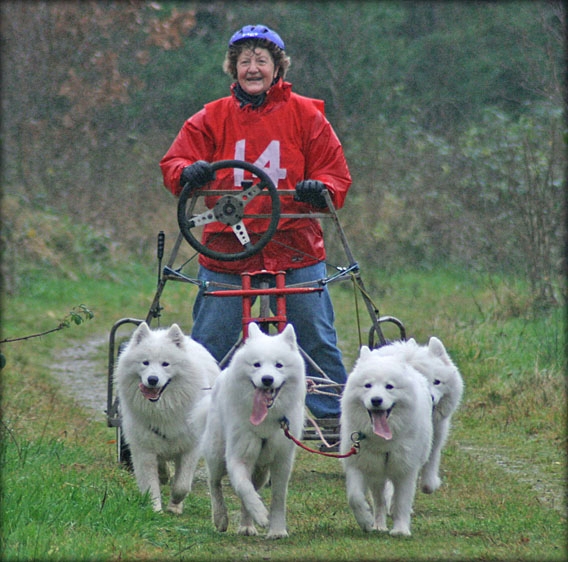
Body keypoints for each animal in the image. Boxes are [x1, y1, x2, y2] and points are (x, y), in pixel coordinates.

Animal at [115, 322, 220, 516]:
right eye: (145, 362)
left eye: (165, 364)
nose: (152, 379)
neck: (163, 408)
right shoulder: (143, 448)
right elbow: (150, 484)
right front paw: (155, 510)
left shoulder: (190, 447)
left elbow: (182, 485)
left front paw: (175, 505)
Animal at [203, 324, 306, 540]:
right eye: (257, 365)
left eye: (279, 365)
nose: (267, 380)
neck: (266, 420)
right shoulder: (238, 457)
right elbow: (244, 488)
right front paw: (260, 514)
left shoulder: (282, 462)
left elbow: (278, 497)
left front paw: (277, 530)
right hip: (217, 454)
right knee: (214, 483)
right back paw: (220, 518)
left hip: (260, 473)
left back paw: (246, 526)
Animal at [340, 346, 432, 532]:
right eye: (367, 385)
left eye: (389, 386)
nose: (376, 400)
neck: (383, 441)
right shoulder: (358, 464)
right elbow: (354, 497)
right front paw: (365, 520)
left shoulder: (406, 469)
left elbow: (402, 500)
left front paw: (401, 530)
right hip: (377, 474)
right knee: (379, 501)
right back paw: (379, 526)